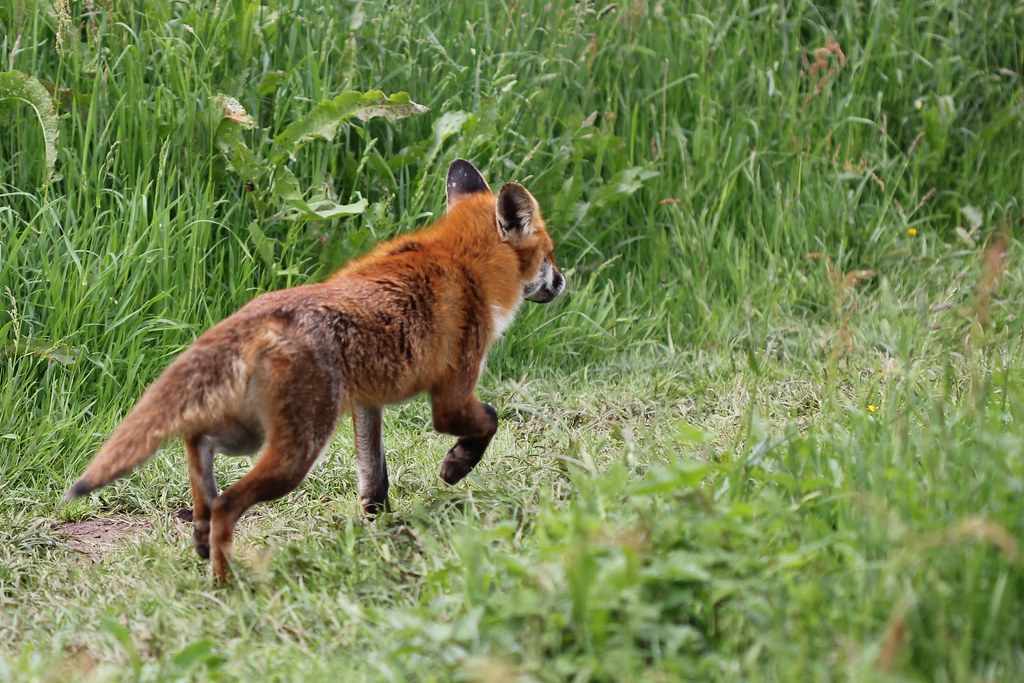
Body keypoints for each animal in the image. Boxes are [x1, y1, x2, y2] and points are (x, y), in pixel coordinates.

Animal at [65, 159, 565, 581]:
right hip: (297, 453)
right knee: (227, 502)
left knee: (198, 445)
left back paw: (202, 533)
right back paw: (226, 583)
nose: (563, 282)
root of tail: (263, 312)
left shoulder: (366, 403)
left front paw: (382, 526)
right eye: (551, 253)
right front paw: (456, 467)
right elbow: (489, 420)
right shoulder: (452, 397)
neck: (464, 262)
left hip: (253, 435)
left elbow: (374, 475)